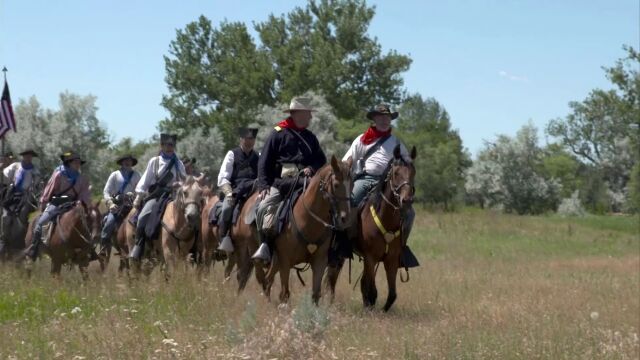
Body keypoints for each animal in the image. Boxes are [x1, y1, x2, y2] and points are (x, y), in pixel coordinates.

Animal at [264, 156, 356, 306]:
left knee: (268, 278)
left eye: (352, 185)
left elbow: (315, 294)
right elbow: (284, 294)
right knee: (268, 279)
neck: (307, 221)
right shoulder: (285, 261)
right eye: (336, 185)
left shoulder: (320, 262)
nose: (345, 218)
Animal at [328, 145, 418, 310]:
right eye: (396, 173)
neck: (386, 219)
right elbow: (370, 290)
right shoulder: (370, 258)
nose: (407, 201)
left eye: (413, 172)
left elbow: (391, 294)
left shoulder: (391, 260)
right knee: (333, 276)